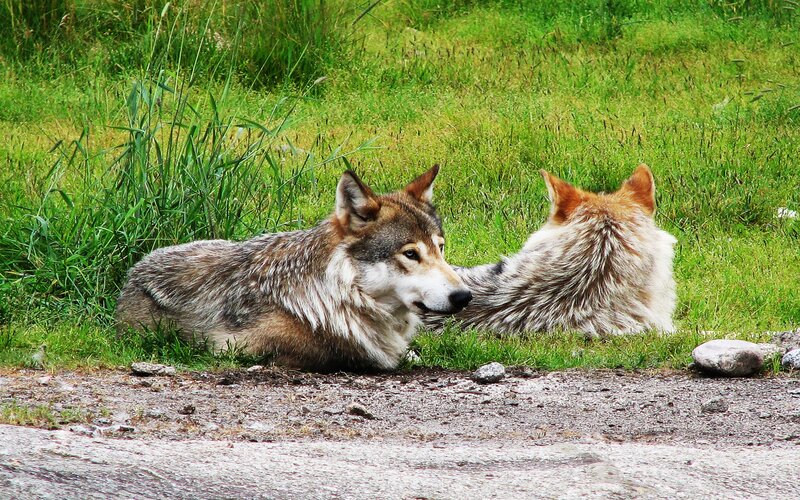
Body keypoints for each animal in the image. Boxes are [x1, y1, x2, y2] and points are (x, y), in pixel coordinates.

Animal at [116, 166, 472, 371]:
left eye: (440, 248)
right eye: (410, 254)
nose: (464, 296)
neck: (341, 297)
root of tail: (133, 274)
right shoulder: (238, 346)